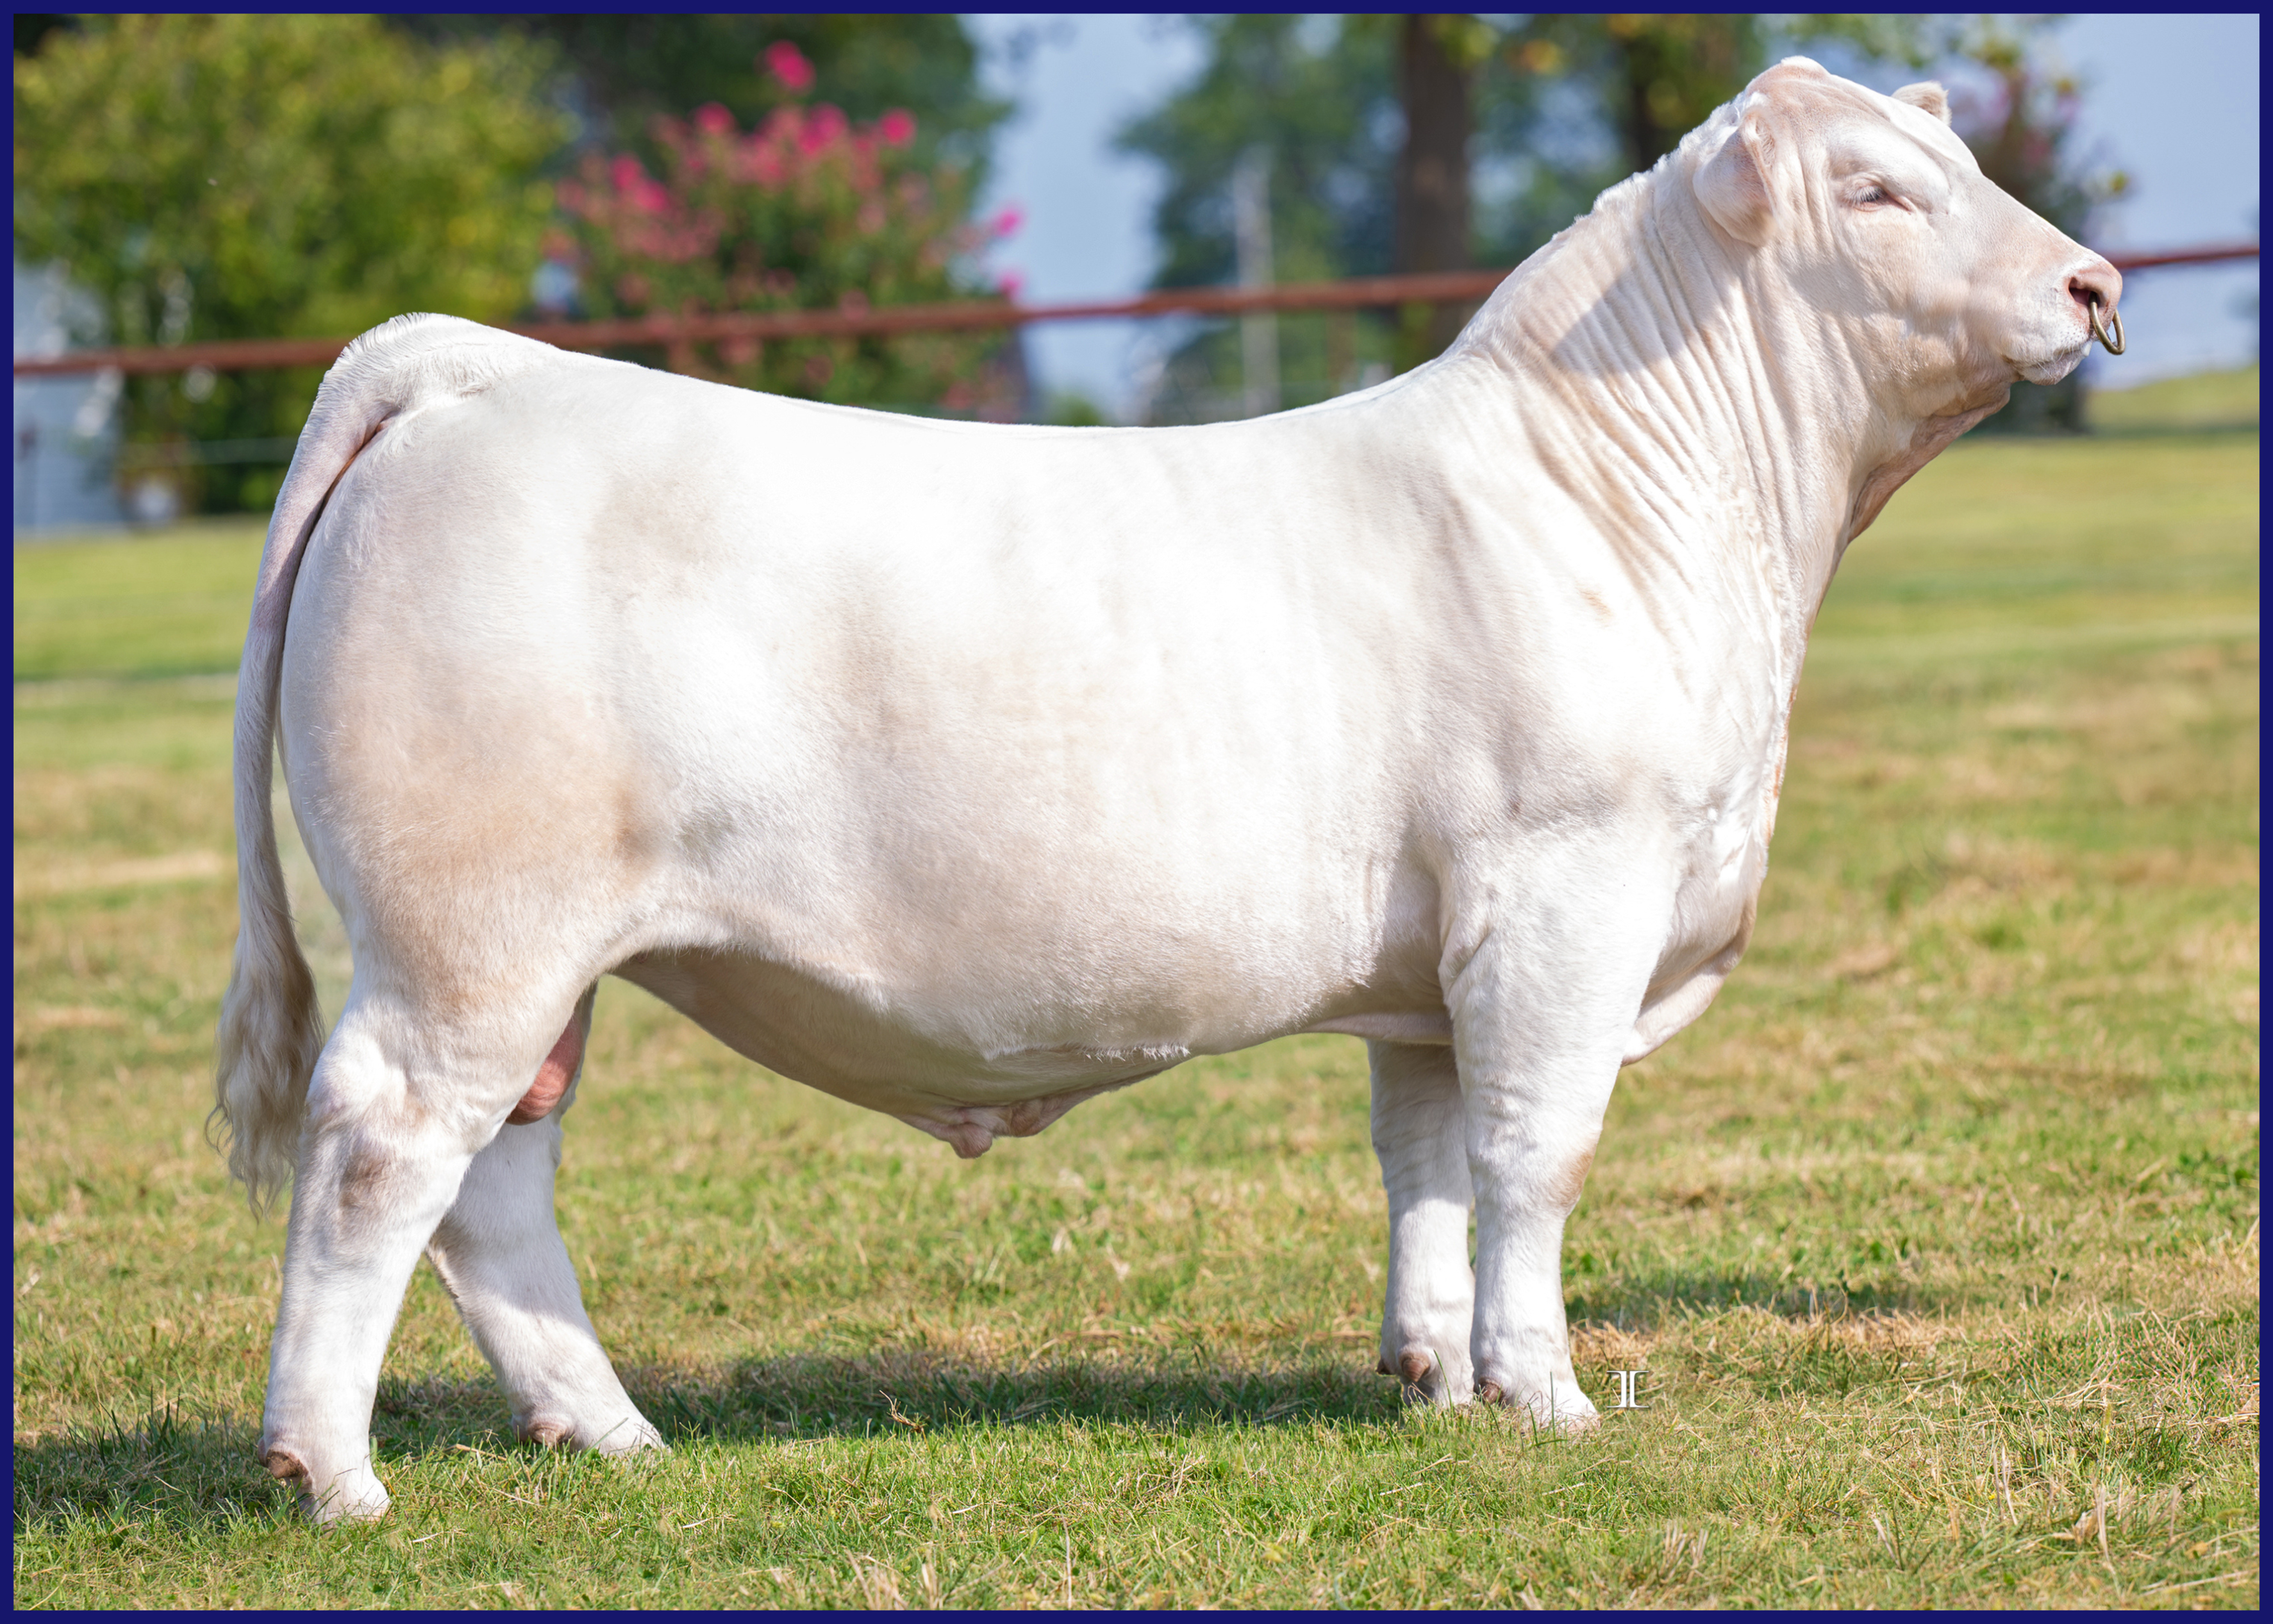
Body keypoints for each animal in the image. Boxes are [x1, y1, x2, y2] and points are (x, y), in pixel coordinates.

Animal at [214, 59, 2121, 1521]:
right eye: (1876, 190)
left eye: (1961, 163)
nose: (2097, 287)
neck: (1629, 505)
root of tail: (478, 367)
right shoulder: (1568, 889)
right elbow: (1537, 1150)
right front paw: (1547, 1389)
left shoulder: (1436, 965)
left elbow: (1425, 1156)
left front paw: (1433, 1373)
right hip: (470, 932)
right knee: (385, 1152)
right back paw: (330, 1472)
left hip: (533, 958)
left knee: (499, 1186)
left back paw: (606, 1431)